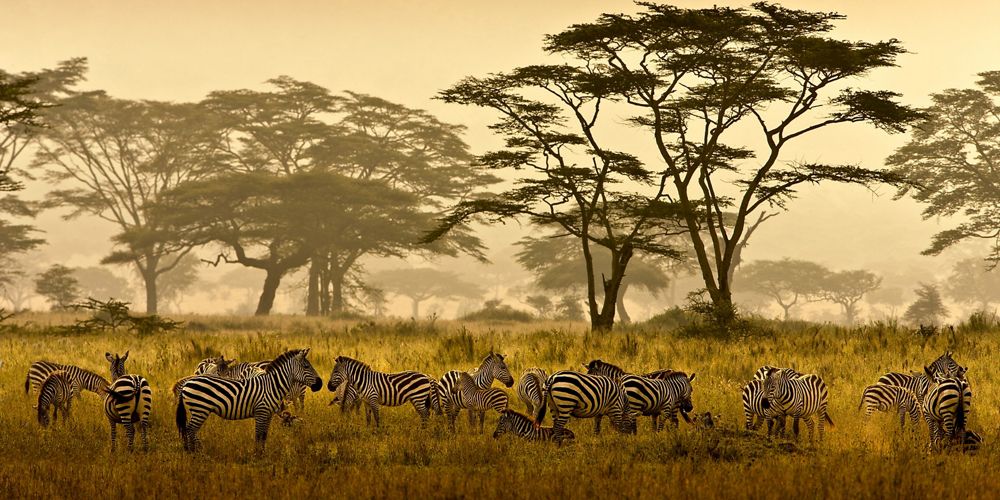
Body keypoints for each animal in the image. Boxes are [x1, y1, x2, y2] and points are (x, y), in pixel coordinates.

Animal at [176, 348, 323, 452]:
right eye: (306, 366)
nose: (320, 384)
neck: (272, 385)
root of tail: (187, 383)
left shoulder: (268, 414)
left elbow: (264, 436)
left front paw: (262, 454)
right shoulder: (261, 412)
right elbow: (258, 435)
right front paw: (257, 456)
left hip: (197, 410)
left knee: (189, 429)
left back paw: (194, 450)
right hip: (200, 409)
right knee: (190, 429)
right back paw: (195, 452)